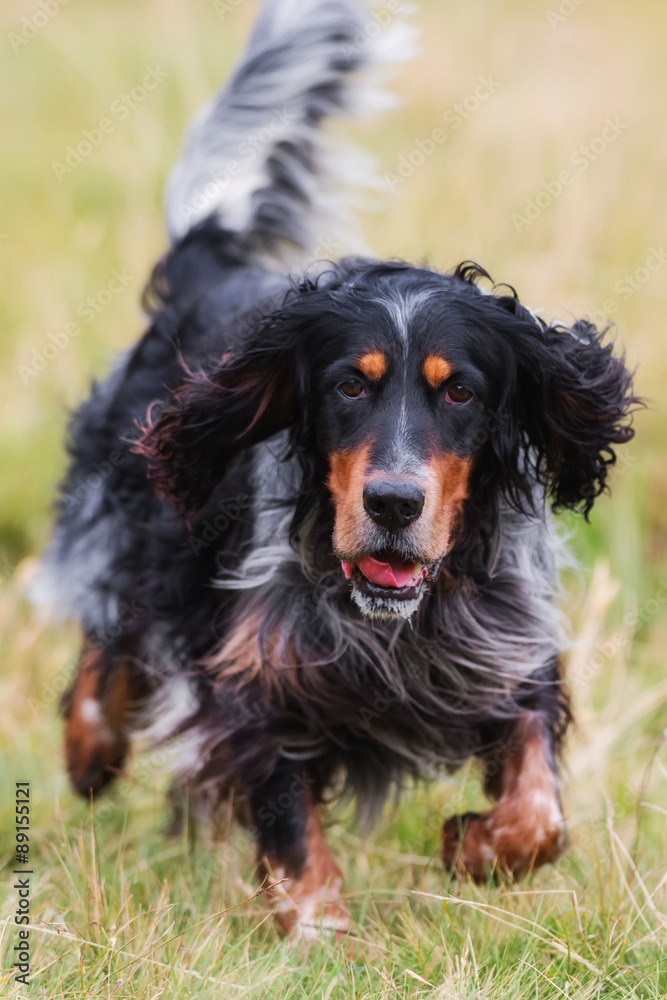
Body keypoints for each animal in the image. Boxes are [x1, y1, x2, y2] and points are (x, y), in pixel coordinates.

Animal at [37, 0, 636, 944]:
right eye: (347, 385)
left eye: (460, 390)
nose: (392, 503)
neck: (393, 625)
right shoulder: (258, 679)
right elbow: (285, 813)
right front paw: (318, 932)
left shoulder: (511, 648)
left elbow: (537, 810)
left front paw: (474, 845)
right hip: (136, 513)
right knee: (114, 632)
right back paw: (92, 746)